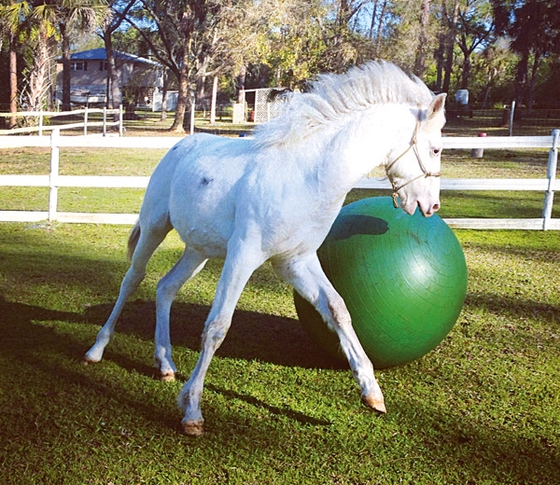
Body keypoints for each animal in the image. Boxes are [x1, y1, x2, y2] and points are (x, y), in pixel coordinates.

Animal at [84, 61, 446, 434]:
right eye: (436, 149)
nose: (431, 206)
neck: (308, 176)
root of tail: (180, 146)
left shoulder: (296, 262)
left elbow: (338, 310)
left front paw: (372, 393)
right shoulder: (244, 256)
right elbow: (217, 327)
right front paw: (192, 412)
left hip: (199, 252)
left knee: (165, 288)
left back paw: (165, 363)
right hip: (155, 227)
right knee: (133, 279)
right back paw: (97, 350)